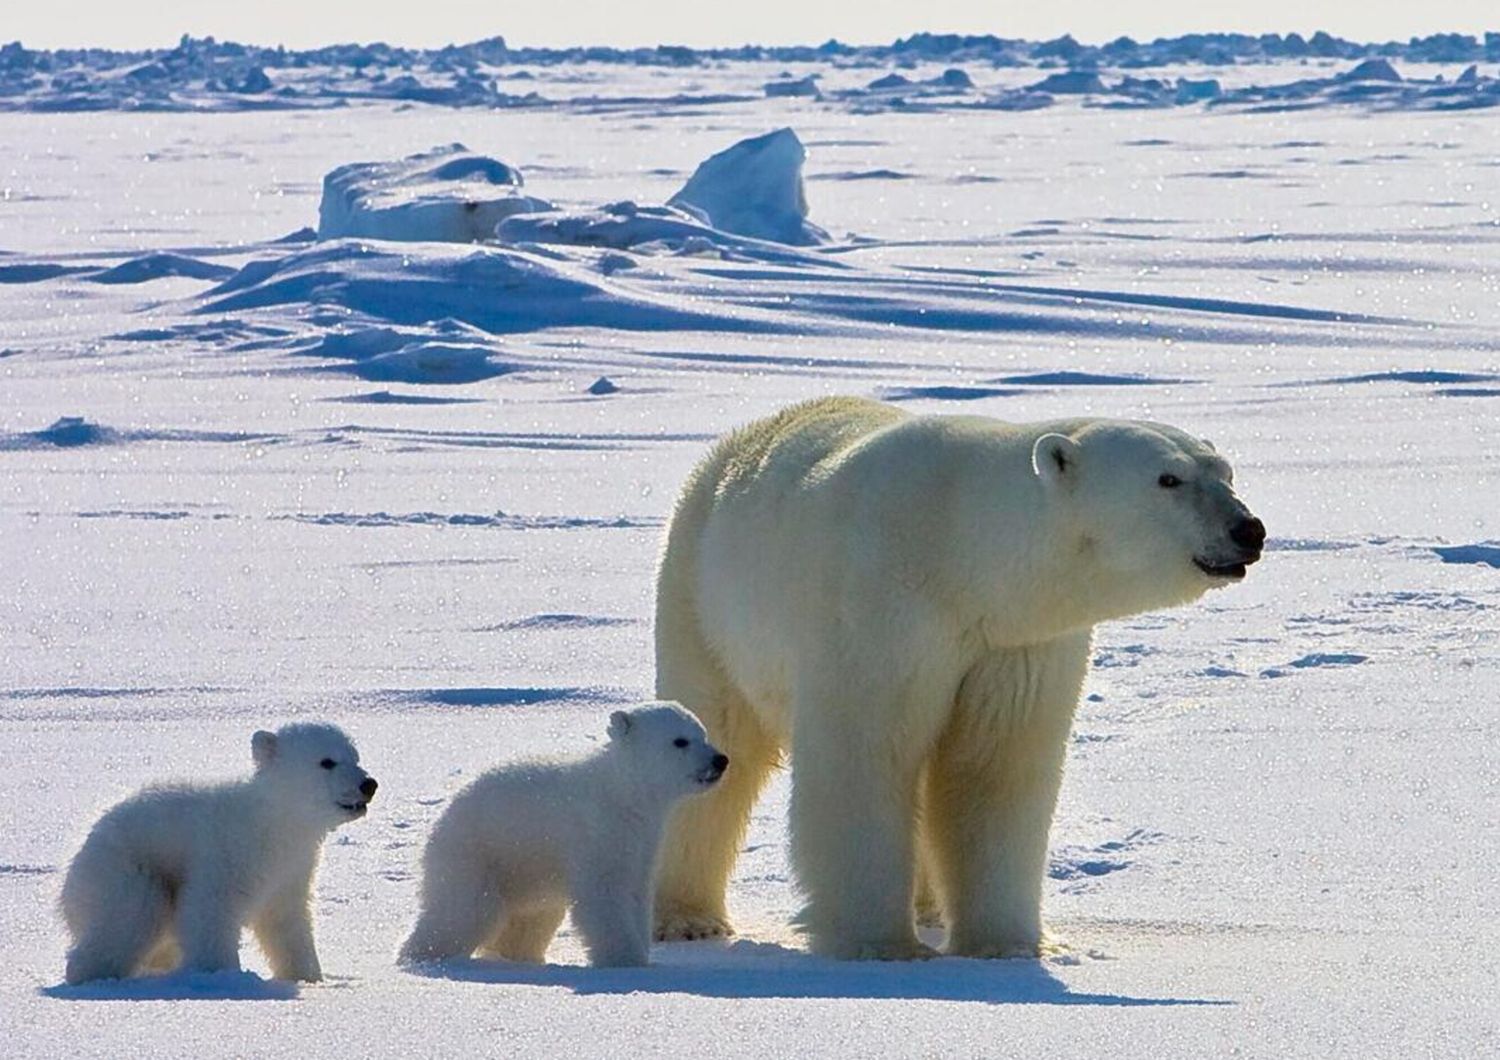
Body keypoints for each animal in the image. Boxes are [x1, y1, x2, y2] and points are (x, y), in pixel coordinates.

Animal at [651, 398, 1260, 959]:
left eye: (1226, 472)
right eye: (1168, 478)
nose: (1248, 529)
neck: (959, 551)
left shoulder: (1015, 643)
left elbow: (994, 768)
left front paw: (1007, 946)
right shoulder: (879, 613)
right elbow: (867, 757)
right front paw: (880, 944)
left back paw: (927, 907)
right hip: (703, 601)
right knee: (718, 735)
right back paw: (686, 918)